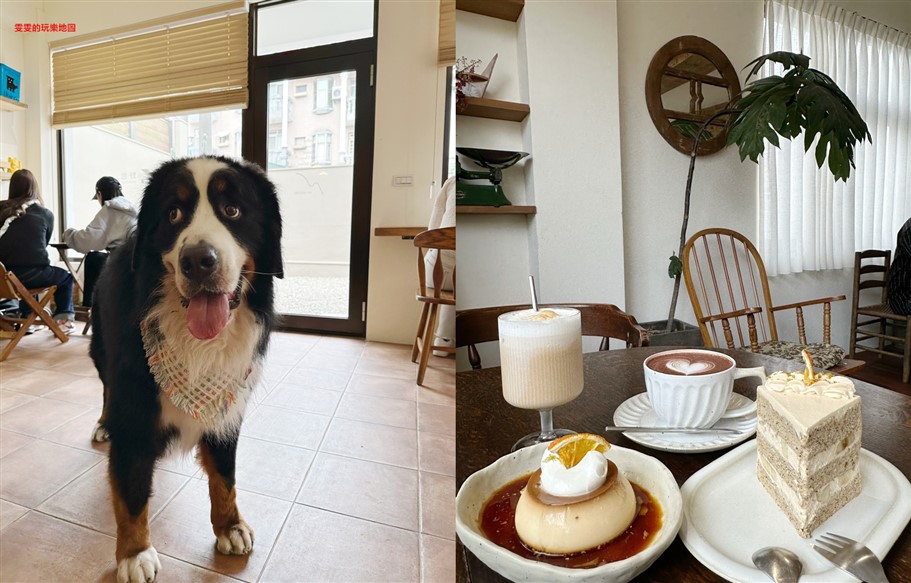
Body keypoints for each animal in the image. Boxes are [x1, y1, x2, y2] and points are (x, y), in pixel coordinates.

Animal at [90, 156, 282, 583]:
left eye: (233, 210)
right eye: (173, 214)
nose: (197, 260)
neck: (198, 346)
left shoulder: (227, 407)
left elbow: (225, 476)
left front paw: (230, 526)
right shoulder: (135, 408)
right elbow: (131, 492)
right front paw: (134, 553)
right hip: (101, 352)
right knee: (106, 389)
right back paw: (103, 424)